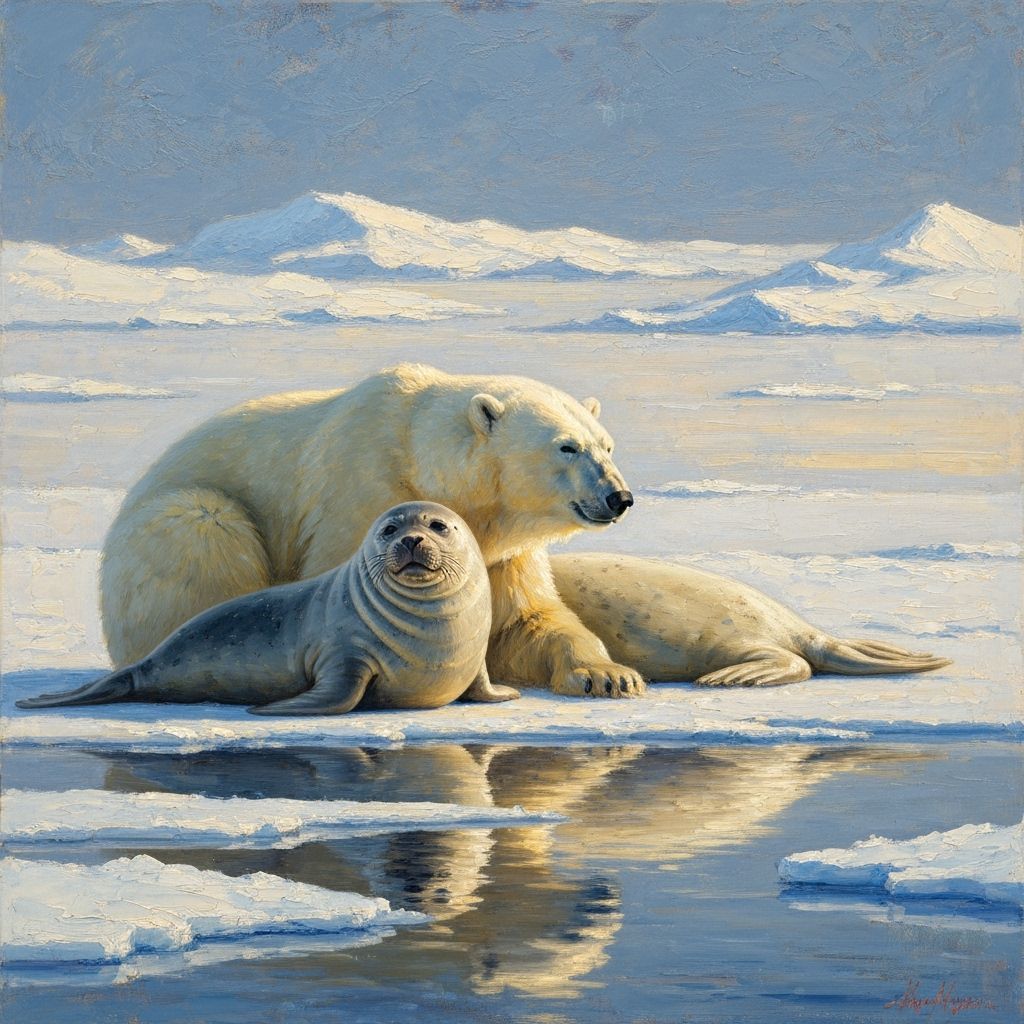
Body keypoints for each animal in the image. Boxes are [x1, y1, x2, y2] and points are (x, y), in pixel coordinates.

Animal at [100, 363, 645, 699]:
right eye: (566, 447)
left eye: (607, 445)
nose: (619, 497)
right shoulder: (360, 494)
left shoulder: (500, 552)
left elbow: (527, 617)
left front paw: (609, 676)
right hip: (184, 521)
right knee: (204, 534)